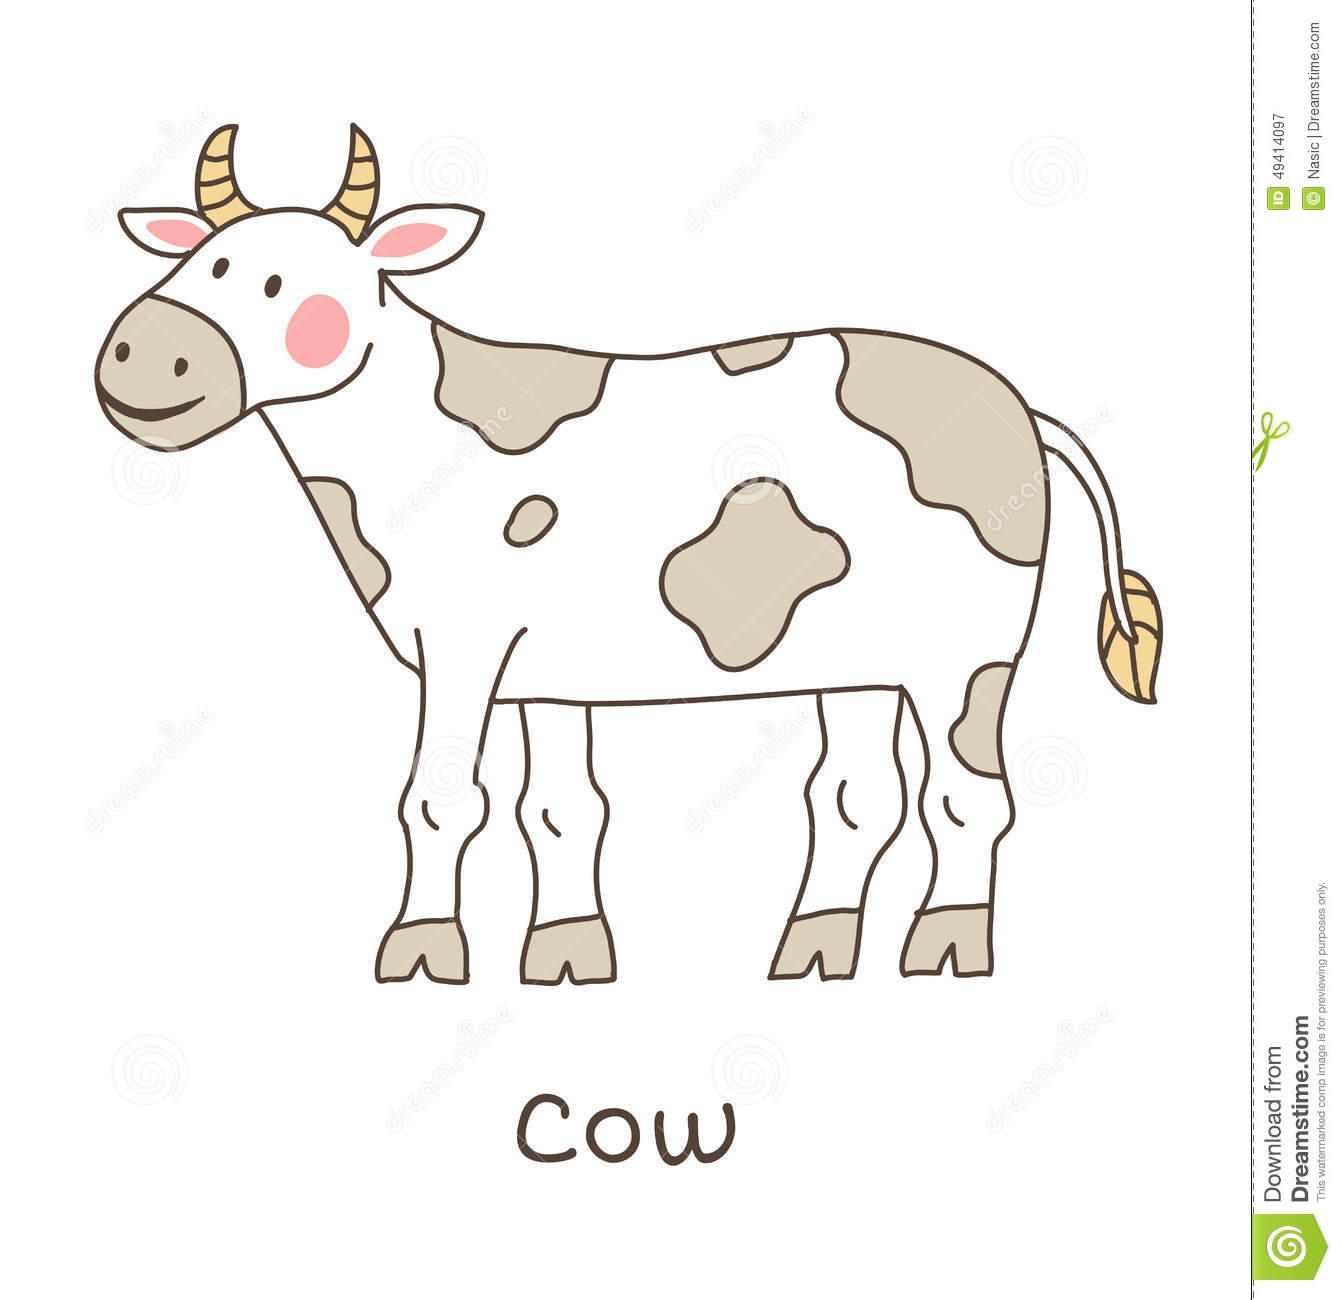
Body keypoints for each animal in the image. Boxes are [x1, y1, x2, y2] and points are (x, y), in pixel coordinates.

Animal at [95, 125, 1163, 986]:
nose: (142, 353)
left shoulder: (463, 641)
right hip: (858, 658)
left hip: (968, 652)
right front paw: (566, 956)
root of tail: (1019, 413)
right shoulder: (546, 671)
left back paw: (944, 947)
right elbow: (561, 810)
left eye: (286, 283)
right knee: (856, 798)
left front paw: (422, 952)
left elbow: (438, 799)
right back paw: (813, 950)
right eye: (200, 265)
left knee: (967, 798)